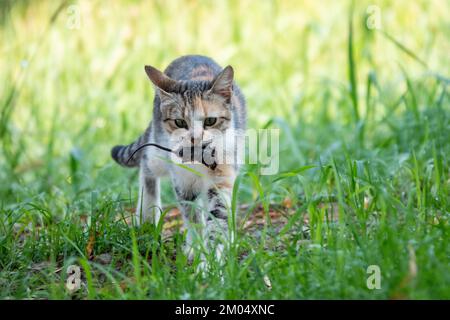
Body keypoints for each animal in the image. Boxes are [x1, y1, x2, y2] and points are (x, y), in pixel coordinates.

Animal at [111, 53, 246, 262]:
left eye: (210, 121)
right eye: (180, 122)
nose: (195, 138)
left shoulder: (222, 174)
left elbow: (218, 217)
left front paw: (212, 260)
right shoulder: (183, 182)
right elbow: (192, 217)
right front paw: (197, 250)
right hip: (158, 152)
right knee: (146, 167)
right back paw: (147, 217)